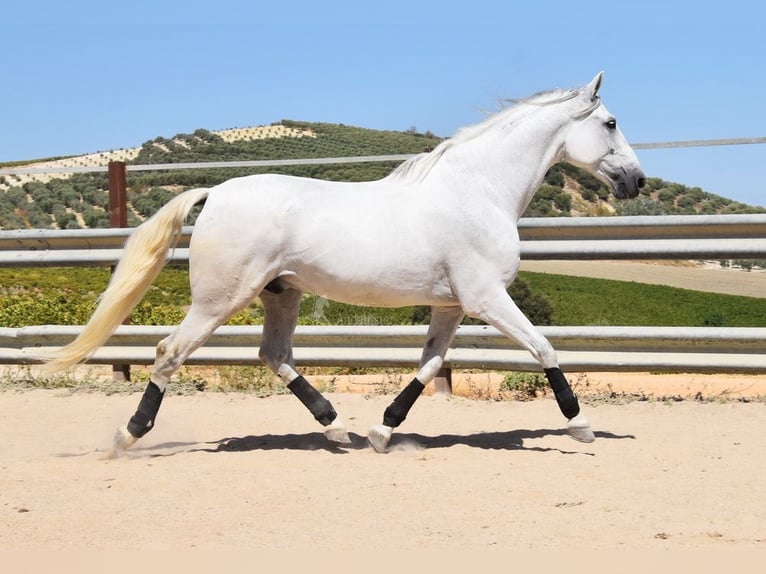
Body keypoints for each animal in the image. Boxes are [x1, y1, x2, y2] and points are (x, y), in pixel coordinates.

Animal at [42, 71, 645, 454]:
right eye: (612, 123)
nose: (636, 181)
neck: (478, 191)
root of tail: (214, 193)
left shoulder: (452, 306)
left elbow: (429, 366)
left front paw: (383, 433)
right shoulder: (486, 298)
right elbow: (544, 348)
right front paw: (582, 425)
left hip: (281, 293)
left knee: (273, 354)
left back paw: (336, 429)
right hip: (220, 299)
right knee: (170, 353)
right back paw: (128, 436)